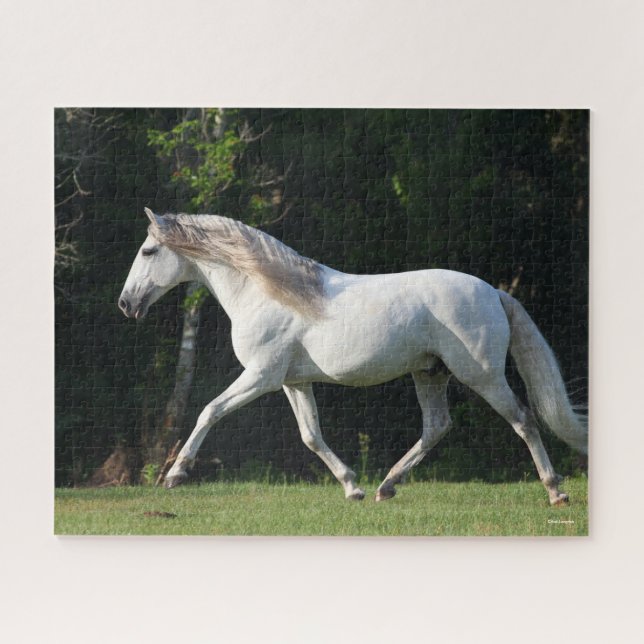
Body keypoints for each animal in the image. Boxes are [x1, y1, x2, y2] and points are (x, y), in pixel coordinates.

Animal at [118, 208, 587, 505]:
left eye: (148, 252)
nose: (126, 304)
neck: (265, 291)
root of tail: (494, 292)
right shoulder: (293, 382)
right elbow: (311, 435)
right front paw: (352, 487)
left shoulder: (261, 376)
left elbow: (209, 410)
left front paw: (175, 476)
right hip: (430, 373)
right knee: (437, 426)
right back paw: (385, 487)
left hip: (483, 376)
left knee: (523, 420)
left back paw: (556, 492)